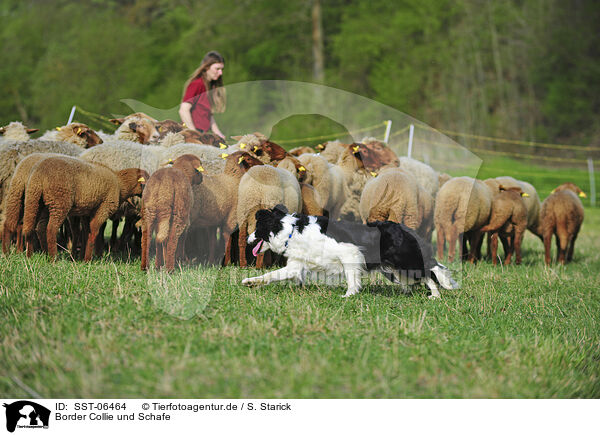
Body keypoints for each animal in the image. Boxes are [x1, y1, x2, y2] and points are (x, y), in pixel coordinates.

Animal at [241, 208, 458, 300]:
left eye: (256, 229)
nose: (247, 239)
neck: (291, 230)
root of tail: (405, 229)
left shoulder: (350, 254)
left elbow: (351, 279)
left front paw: (349, 295)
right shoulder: (295, 265)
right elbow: (270, 275)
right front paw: (250, 282)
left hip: (405, 262)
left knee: (431, 272)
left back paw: (437, 294)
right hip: (397, 269)